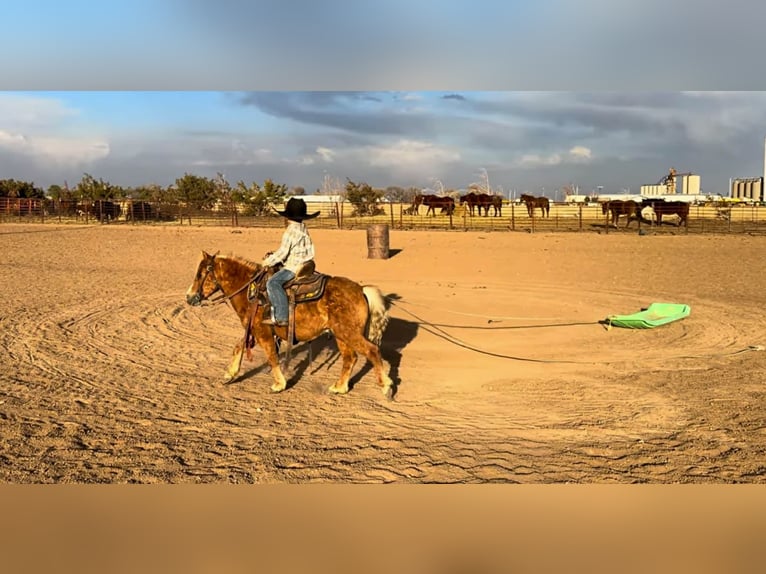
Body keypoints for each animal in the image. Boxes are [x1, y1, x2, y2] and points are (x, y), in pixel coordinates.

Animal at [185, 251, 394, 399]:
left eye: (200, 275)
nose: (189, 297)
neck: (251, 291)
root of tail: (361, 290)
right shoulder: (254, 330)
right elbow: (238, 347)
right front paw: (230, 374)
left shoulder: (262, 332)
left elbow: (271, 356)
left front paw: (279, 384)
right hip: (341, 335)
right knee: (350, 358)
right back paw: (340, 387)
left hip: (349, 333)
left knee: (372, 351)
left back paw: (386, 387)